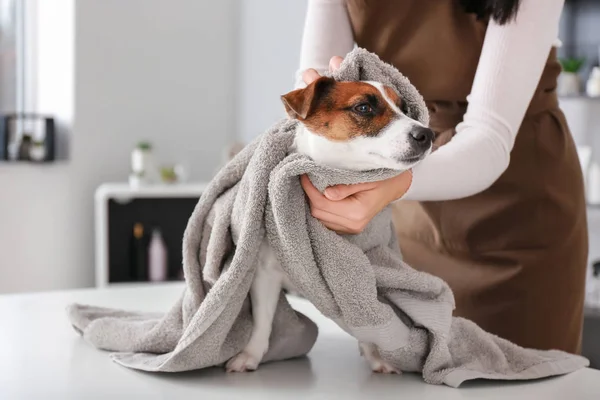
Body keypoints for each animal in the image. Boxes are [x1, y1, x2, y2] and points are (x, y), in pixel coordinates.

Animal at [225, 76, 432, 376]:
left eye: (404, 108)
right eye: (364, 107)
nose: (427, 134)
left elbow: (368, 320)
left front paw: (376, 355)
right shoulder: (265, 272)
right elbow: (262, 320)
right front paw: (250, 355)